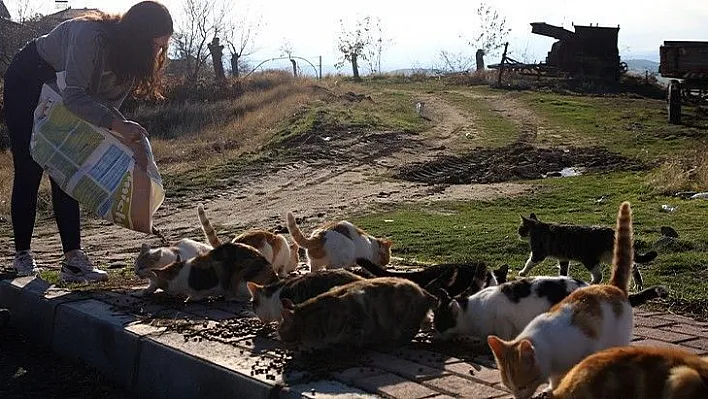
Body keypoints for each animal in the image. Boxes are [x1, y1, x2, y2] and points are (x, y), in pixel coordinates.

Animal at [516, 211, 660, 290]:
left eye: (520, 228)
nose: (518, 234)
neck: (537, 227)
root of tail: (610, 231)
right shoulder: (563, 258)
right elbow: (563, 271)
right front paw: (563, 280)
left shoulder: (538, 253)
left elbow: (529, 262)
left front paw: (522, 272)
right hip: (610, 255)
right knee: (633, 265)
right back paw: (638, 284)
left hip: (589, 258)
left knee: (598, 275)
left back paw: (590, 284)